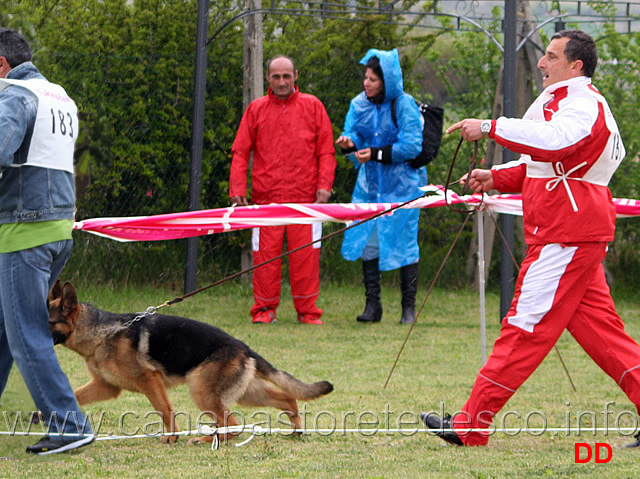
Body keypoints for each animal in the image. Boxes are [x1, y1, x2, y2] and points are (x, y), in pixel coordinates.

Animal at [47, 284, 332, 444]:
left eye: (47, 321)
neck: (101, 333)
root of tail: (242, 346)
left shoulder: (149, 380)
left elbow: (164, 410)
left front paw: (171, 436)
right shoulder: (105, 386)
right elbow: (73, 396)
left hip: (201, 389)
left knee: (233, 425)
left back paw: (206, 438)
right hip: (246, 393)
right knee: (287, 399)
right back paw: (296, 430)